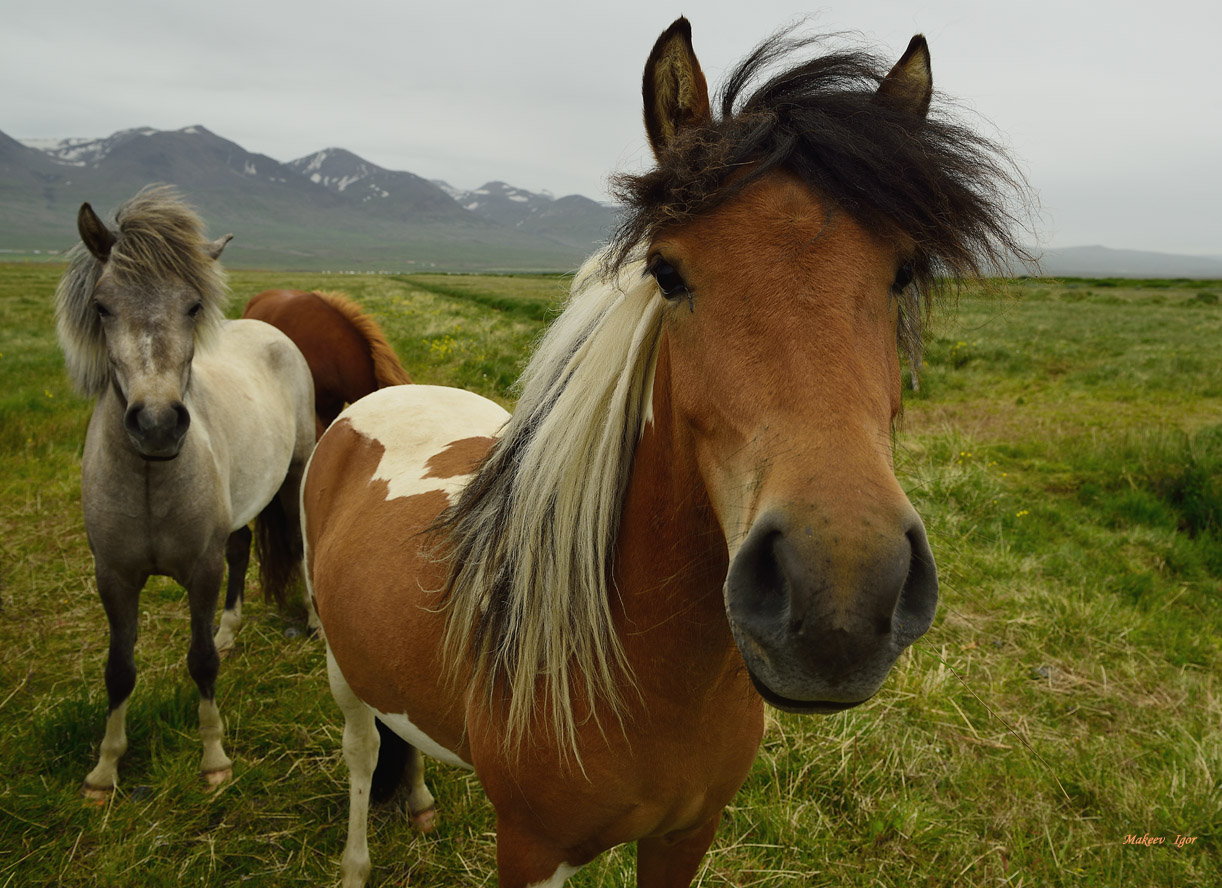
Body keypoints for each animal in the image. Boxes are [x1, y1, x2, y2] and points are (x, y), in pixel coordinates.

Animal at [56, 184, 315, 796]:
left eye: (193, 306)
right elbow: (119, 669)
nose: (156, 424)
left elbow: (199, 662)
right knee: (242, 549)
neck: (150, 478)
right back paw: (230, 630)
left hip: (294, 473)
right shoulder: (114, 578)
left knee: (298, 541)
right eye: (103, 307)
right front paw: (105, 768)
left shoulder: (201, 571)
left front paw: (214, 757)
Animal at [300, 15, 1026, 888]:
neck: (651, 673)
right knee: (360, 751)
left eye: (904, 272)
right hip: (341, 669)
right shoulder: (530, 847)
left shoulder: (687, 834)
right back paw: (356, 860)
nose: (841, 599)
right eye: (667, 272)